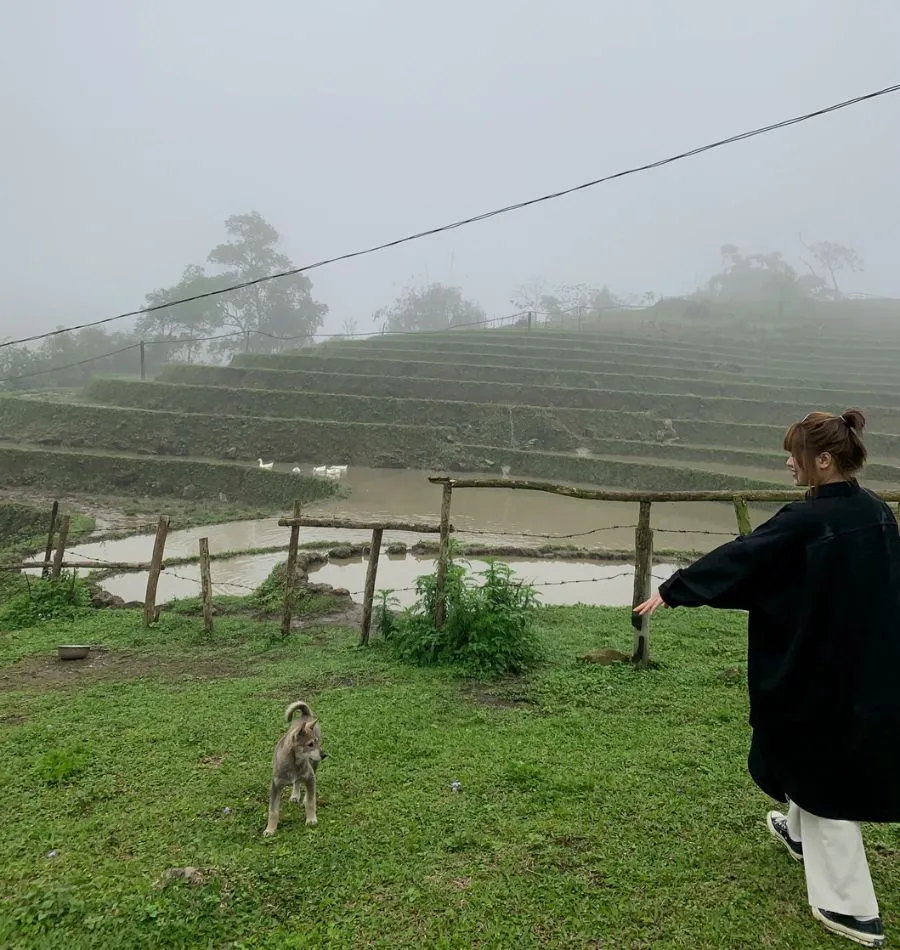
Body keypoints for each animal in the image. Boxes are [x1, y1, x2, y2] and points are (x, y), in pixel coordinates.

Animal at [264, 704, 326, 836]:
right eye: (310, 744)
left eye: (317, 742)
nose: (324, 755)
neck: (294, 762)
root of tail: (305, 714)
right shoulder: (275, 785)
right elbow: (273, 810)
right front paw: (270, 829)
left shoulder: (310, 777)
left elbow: (311, 801)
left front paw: (311, 819)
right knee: (296, 782)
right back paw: (295, 795)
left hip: (314, 766)